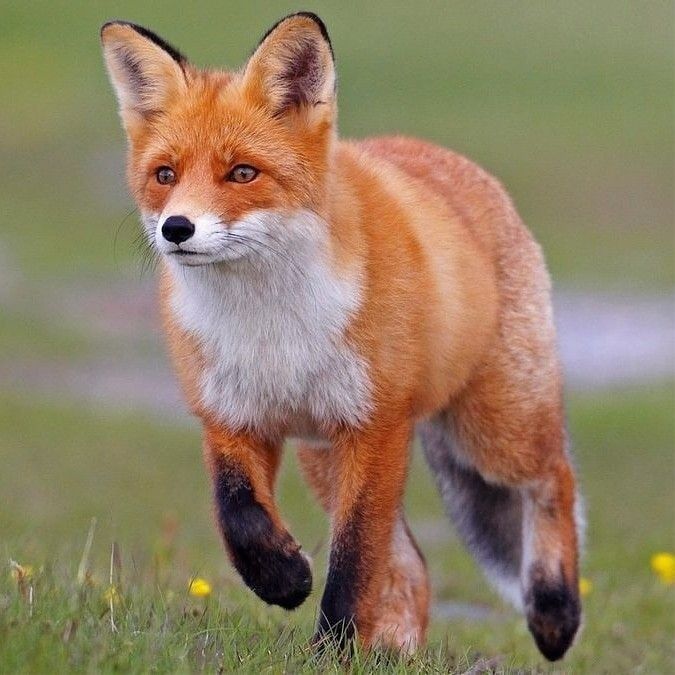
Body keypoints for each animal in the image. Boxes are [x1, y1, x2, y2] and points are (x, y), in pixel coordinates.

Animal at [101, 12, 582, 661]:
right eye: (165, 175)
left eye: (243, 172)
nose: (177, 228)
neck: (273, 330)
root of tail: (436, 153)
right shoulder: (229, 415)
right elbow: (239, 517)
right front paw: (283, 579)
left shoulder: (374, 428)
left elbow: (354, 559)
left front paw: (332, 649)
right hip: (325, 455)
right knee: (412, 565)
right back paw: (396, 652)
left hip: (494, 430)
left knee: (553, 477)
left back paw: (555, 610)